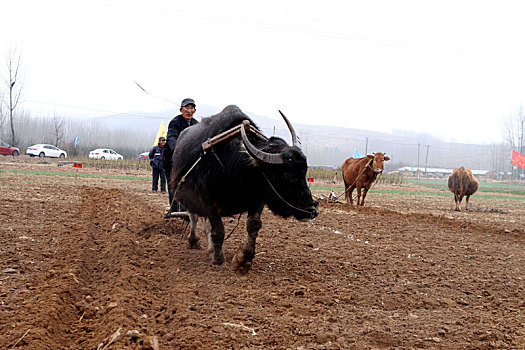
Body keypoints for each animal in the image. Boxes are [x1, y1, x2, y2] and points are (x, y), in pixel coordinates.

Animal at [172, 105, 318, 272]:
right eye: (289, 175)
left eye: (304, 171)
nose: (313, 209)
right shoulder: (208, 202)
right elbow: (218, 230)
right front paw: (219, 259)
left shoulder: (258, 200)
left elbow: (253, 225)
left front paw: (243, 259)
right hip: (186, 195)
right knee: (194, 217)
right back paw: (194, 241)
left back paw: (209, 248)